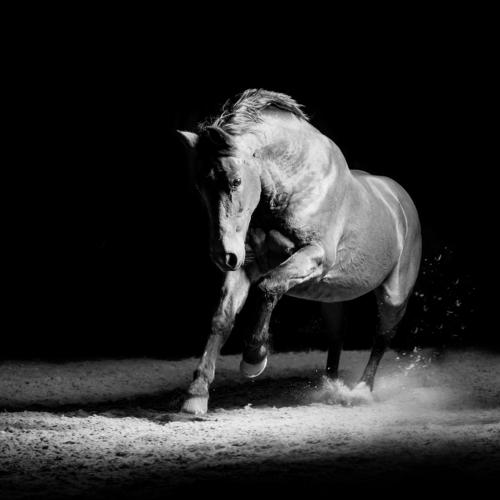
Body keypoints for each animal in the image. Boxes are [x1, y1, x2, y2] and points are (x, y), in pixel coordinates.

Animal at [178, 89, 421, 414]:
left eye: (236, 181)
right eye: (200, 188)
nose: (222, 256)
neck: (296, 186)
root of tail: (399, 199)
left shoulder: (313, 256)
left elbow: (268, 287)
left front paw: (254, 358)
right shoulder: (246, 265)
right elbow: (222, 317)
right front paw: (196, 394)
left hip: (394, 295)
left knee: (382, 336)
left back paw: (360, 391)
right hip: (332, 297)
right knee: (337, 335)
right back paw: (330, 387)